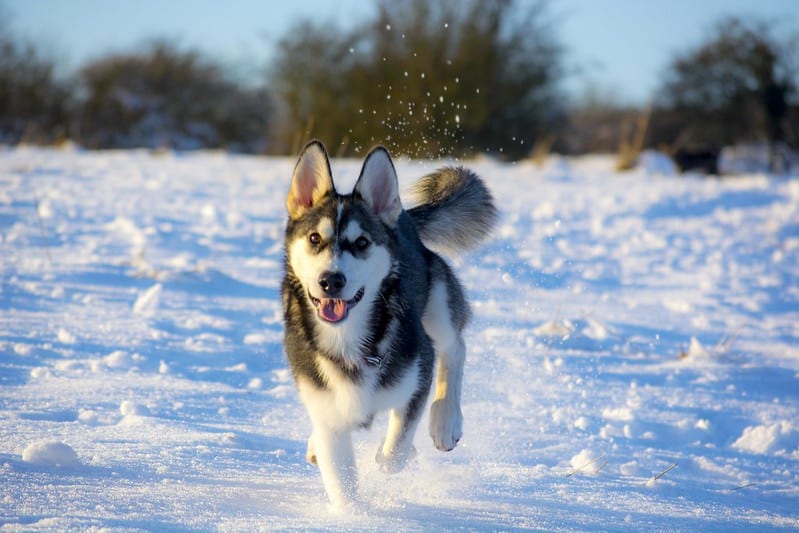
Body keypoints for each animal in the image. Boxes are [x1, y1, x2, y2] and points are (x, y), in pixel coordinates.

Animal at [280, 139, 494, 504]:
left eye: (362, 242)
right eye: (314, 239)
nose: (331, 280)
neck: (348, 339)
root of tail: (403, 219)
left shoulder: (417, 377)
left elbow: (395, 452)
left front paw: (396, 452)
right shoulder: (327, 412)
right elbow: (341, 482)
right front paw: (352, 513)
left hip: (438, 304)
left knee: (454, 347)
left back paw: (445, 421)